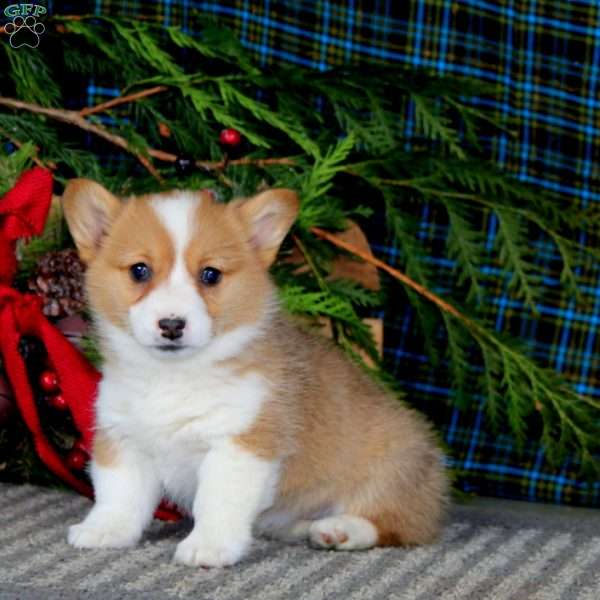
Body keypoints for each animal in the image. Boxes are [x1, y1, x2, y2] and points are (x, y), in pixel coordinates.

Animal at [62, 180, 446, 568]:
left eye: (211, 274)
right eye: (139, 270)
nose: (172, 325)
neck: (173, 375)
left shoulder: (241, 444)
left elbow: (217, 501)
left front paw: (209, 546)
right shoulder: (124, 438)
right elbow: (118, 494)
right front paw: (105, 529)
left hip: (391, 469)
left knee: (397, 523)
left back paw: (341, 530)